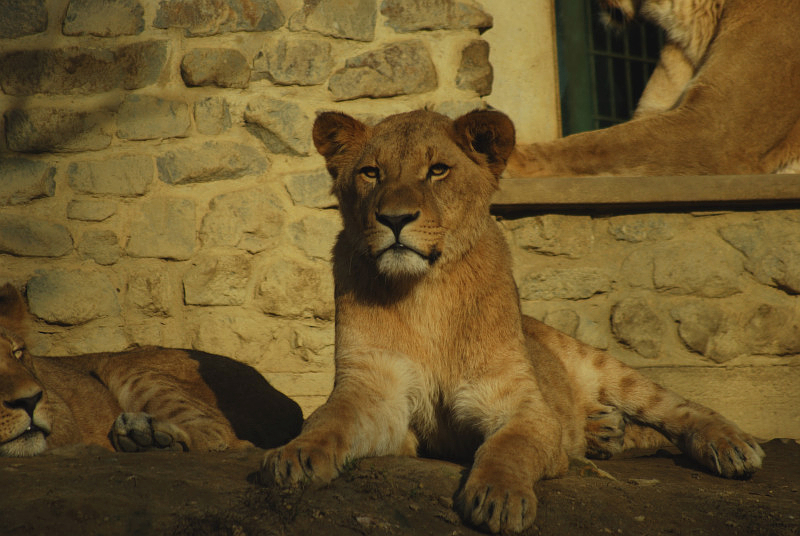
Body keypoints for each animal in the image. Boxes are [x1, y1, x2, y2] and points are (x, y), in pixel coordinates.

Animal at [0, 283, 302, 456]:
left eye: (17, 353)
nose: (29, 401)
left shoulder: (65, 422)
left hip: (119, 364)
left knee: (223, 433)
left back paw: (152, 437)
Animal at [259, 109, 764, 534]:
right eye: (371, 172)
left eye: (437, 170)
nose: (395, 218)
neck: (424, 292)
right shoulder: (372, 389)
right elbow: (328, 420)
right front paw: (296, 456)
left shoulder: (518, 401)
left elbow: (509, 447)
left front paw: (499, 498)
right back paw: (604, 431)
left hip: (605, 366)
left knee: (676, 410)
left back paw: (730, 447)